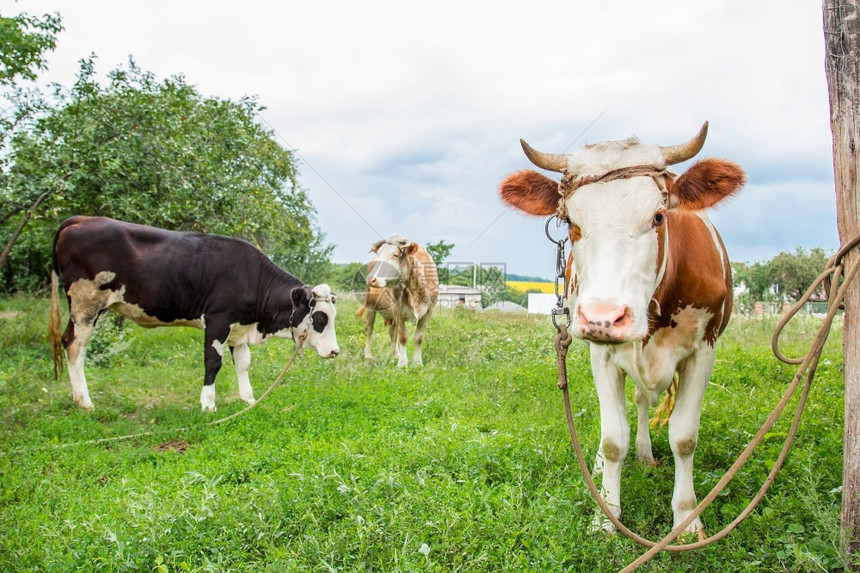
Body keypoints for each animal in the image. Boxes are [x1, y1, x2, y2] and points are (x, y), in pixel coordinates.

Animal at [48, 216, 340, 412]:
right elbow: (213, 362)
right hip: (86, 304)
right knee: (74, 345)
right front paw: (208, 404)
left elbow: (243, 363)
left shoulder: (239, 326)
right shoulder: (218, 320)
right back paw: (84, 401)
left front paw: (248, 399)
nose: (335, 351)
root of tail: (81, 219)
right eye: (320, 318)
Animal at [360, 233, 440, 364]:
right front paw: (402, 363)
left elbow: (418, 337)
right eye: (379, 254)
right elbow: (403, 336)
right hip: (370, 306)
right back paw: (368, 355)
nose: (371, 279)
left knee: (392, 332)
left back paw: (395, 355)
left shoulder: (428, 312)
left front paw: (417, 362)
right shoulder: (398, 310)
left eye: (395, 255)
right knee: (369, 329)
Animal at [500, 123, 744, 540]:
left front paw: (686, 521)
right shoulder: (603, 353)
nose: (603, 316)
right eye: (571, 223)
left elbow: (684, 438)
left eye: (659, 216)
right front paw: (606, 517)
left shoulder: (704, 350)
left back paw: (646, 454)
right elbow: (614, 437)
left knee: (644, 401)